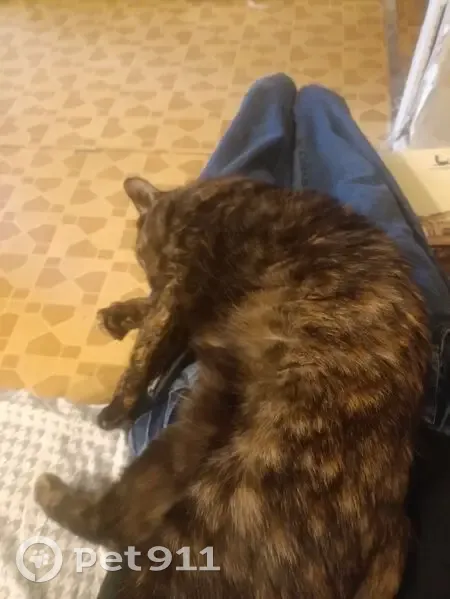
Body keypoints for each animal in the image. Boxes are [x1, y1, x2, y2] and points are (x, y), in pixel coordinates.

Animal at [35, 176, 430, 599]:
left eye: (140, 255)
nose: (149, 273)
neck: (202, 197)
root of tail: (392, 526)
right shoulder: (184, 303)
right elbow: (152, 319)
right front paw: (118, 315)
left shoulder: (180, 281)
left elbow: (147, 345)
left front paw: (117, 406)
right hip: (192, 435)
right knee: (121, 523)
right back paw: (50, 490)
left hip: (223, 505)